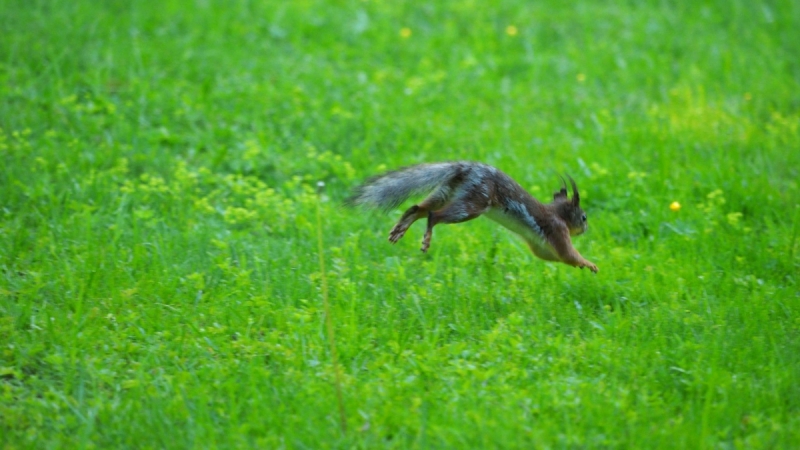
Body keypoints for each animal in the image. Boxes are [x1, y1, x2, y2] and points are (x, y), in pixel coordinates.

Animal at [346, 162, 596, 274]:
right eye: (583, 217)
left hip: (446, 192)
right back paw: (426, 238)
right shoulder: (557, 229)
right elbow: (567, 254)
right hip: (472, 204)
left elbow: (552, 256)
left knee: (417, 208)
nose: (586, 229)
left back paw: (399, 229)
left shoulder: (541, 246)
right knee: (433, 215)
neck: (557, 212)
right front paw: (590, 264)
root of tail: (465, 169)